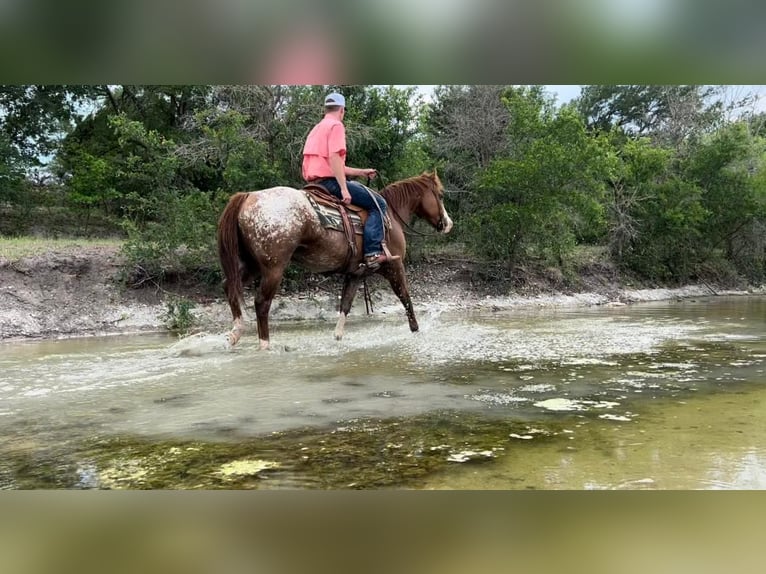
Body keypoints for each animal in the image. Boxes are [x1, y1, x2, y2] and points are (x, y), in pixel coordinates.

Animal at [216, 171, 452, 352]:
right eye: (440, 195)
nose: (448, 224)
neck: (390, 216)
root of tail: (248, 197)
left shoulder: (356, 274)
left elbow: (345, 305)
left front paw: (337, 338)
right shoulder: (394, 266)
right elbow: (406, 299)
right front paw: (416, 331)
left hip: (253, 266)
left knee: (229, 287)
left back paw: (235, 333)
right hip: (274, 269)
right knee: (261, 303)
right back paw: (264, 344)